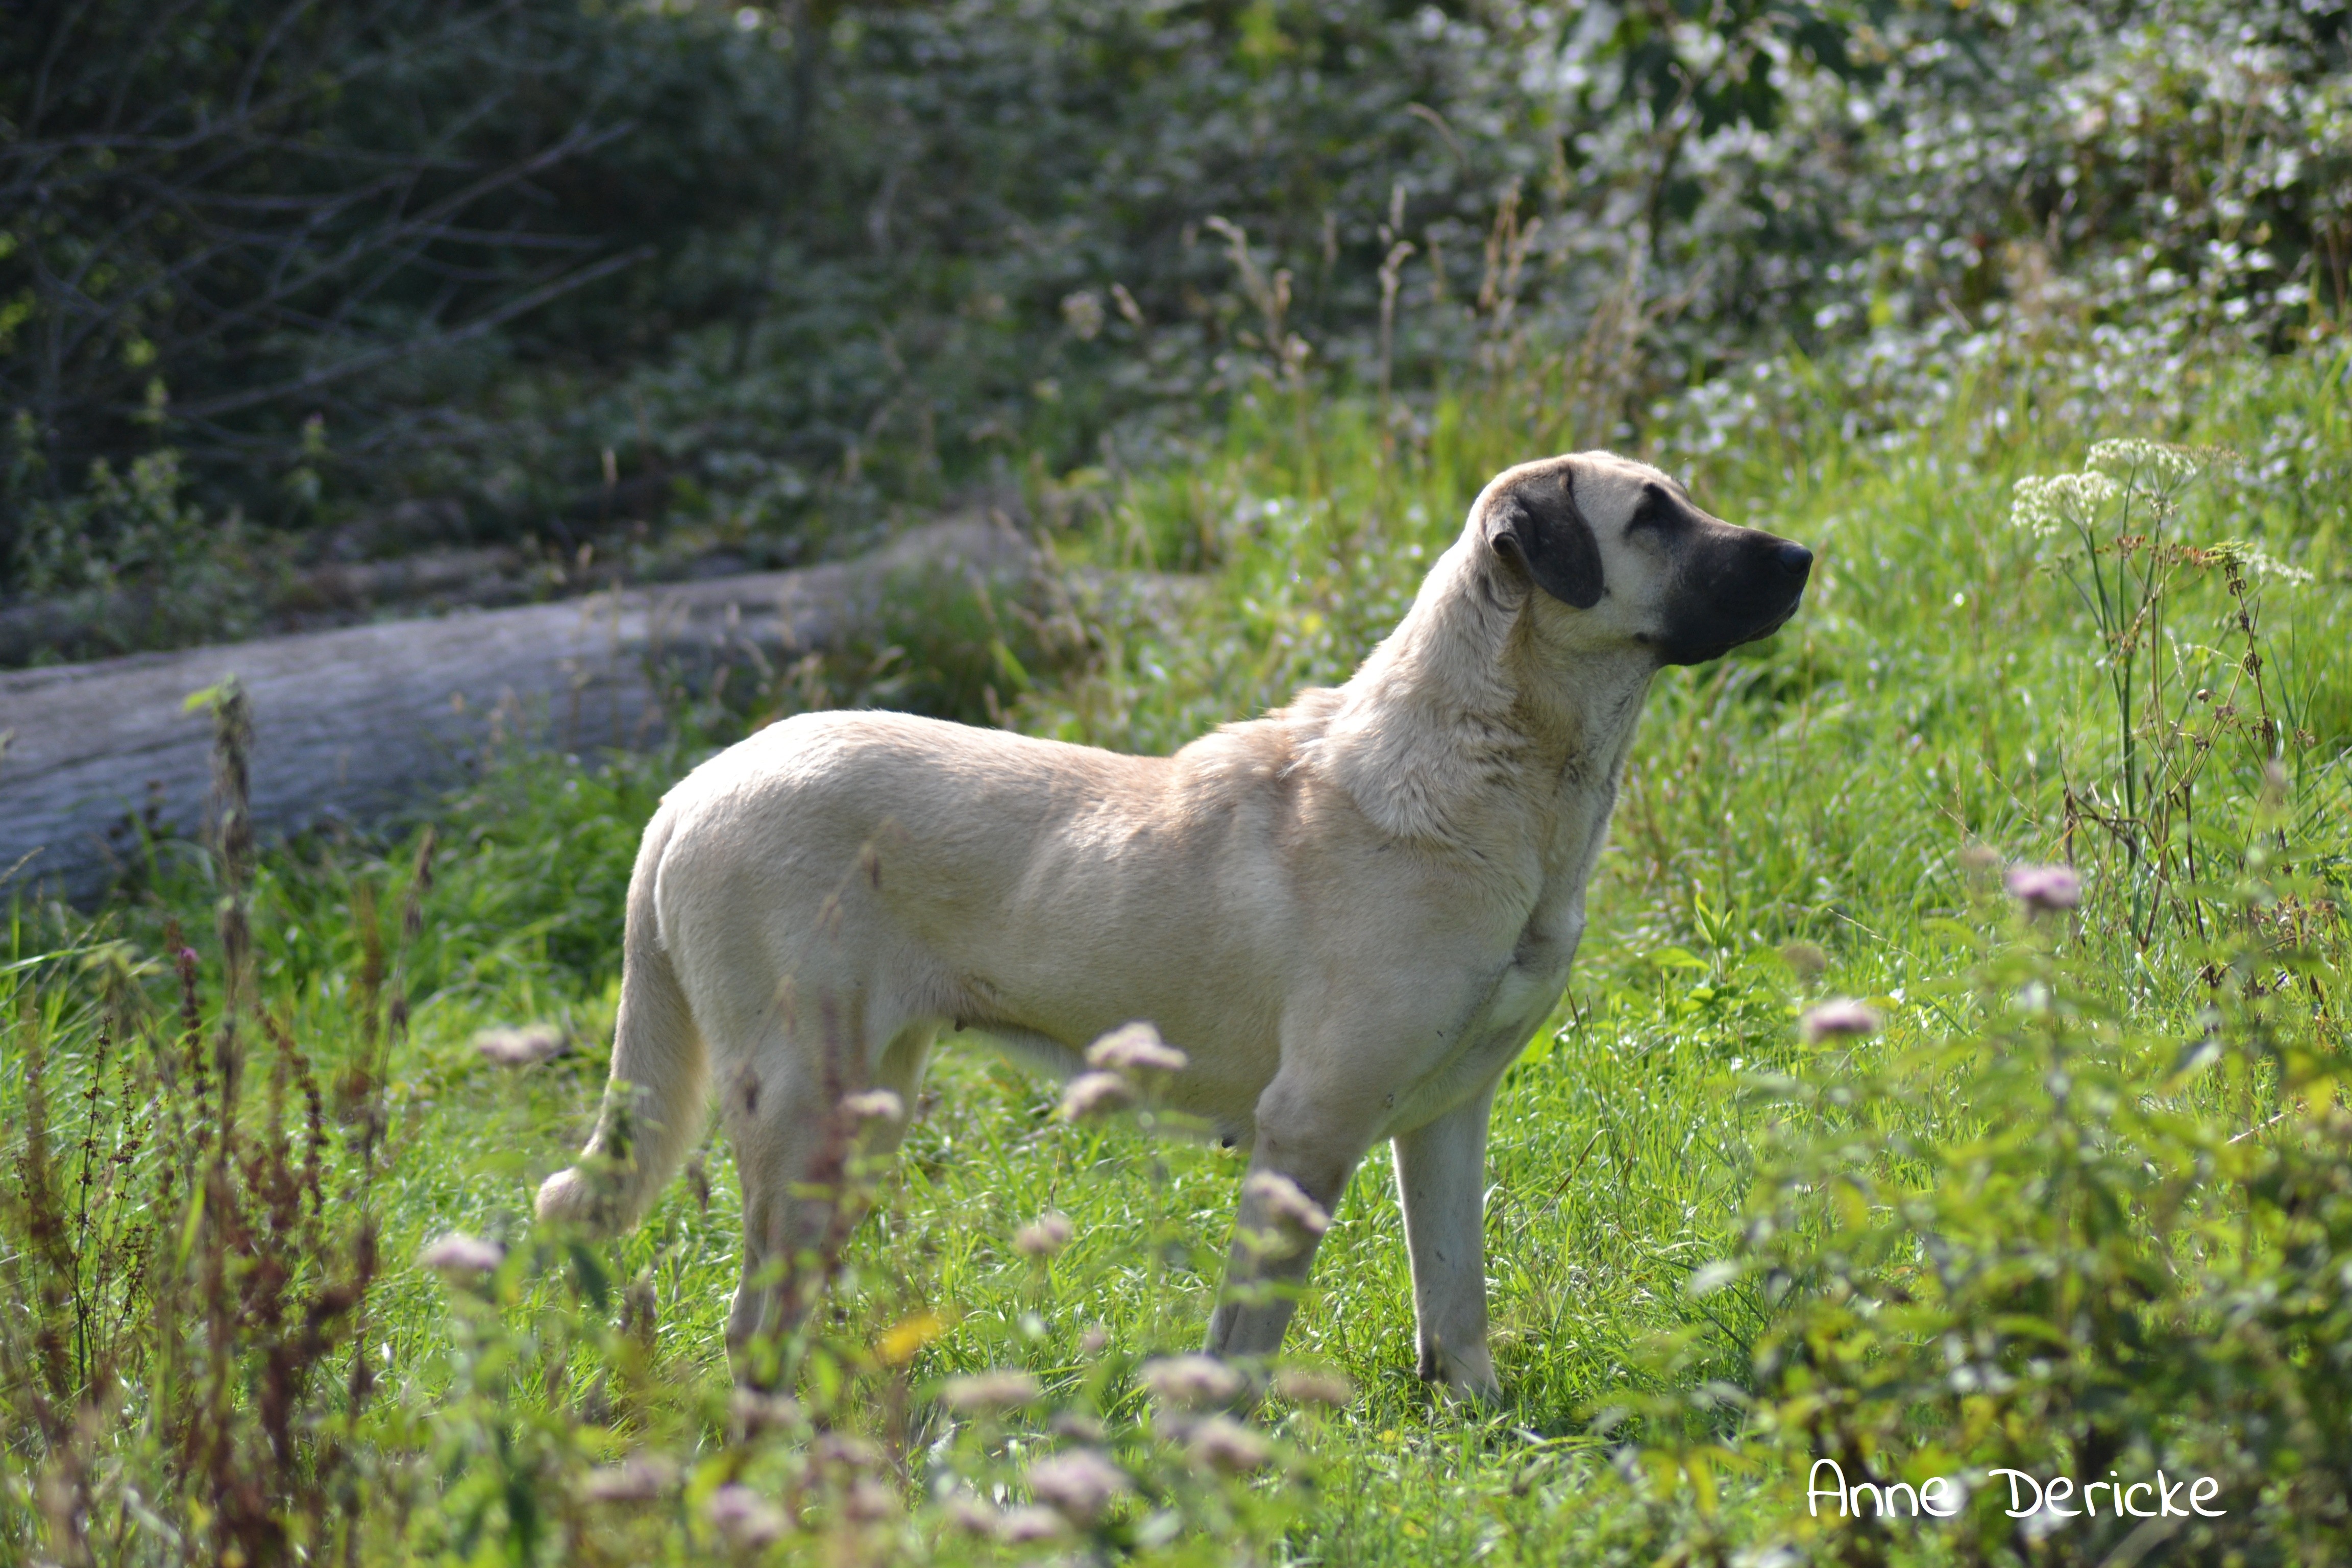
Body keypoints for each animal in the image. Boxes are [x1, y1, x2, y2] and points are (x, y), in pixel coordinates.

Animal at [541, 451, 1806, 1401]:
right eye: (1651, 517)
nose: (1802, 558)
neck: (1498, 766)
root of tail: (691, 787)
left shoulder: (1447, 1117)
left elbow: (1456, 1305)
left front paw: (1484, 1428)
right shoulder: (1309, 1128)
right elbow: (1245, 1345)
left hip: (869, 1107)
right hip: (809, 1111)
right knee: (754, 1324)